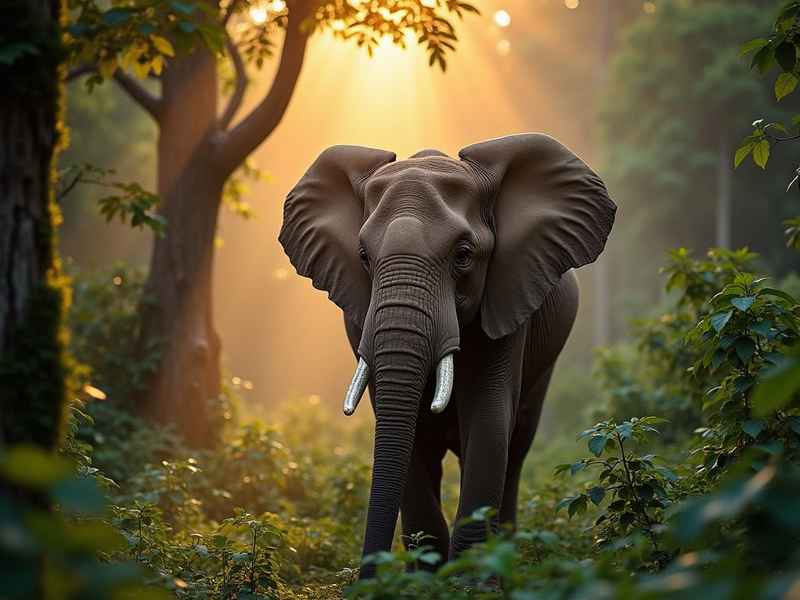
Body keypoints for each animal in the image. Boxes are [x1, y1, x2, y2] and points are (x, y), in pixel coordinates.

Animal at [279, 133, 616, 578]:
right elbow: (403, 425)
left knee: (518, 445)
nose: (363, 578)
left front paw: (469, 581)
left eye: (463, 255)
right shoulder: (357, 317)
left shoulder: (507, 298)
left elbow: (488, 417)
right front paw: (424, 577)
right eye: (363, 256)